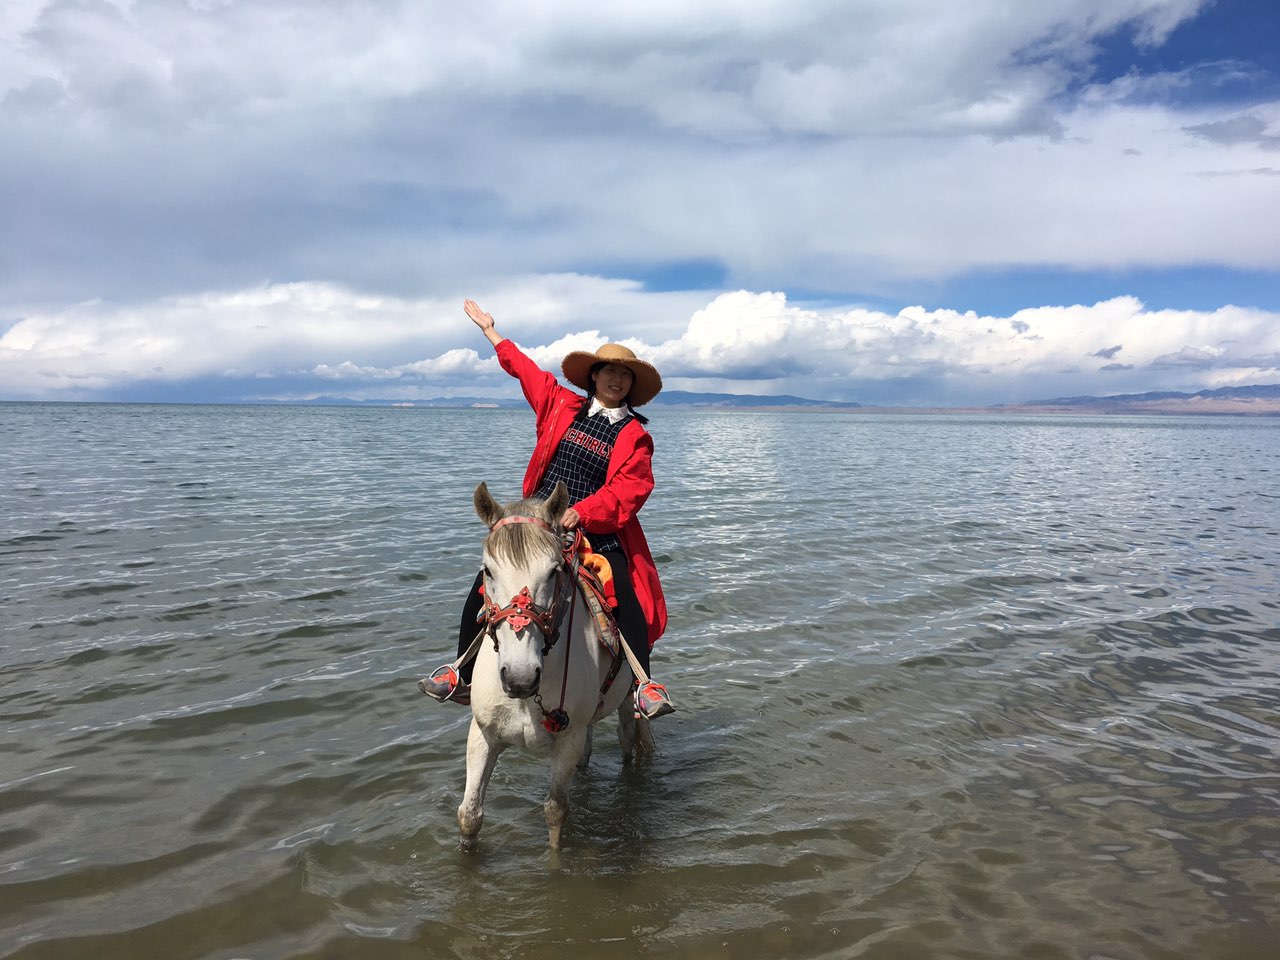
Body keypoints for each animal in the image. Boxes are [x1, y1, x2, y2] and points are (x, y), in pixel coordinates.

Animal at [446, 481, 653, 850]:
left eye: (554, 571)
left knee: (627, 741)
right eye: (487, 570)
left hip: (626, 702)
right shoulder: (483, 735)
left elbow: (555, 813)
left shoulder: (567, 740)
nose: (520, 677)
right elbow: (469, 815)